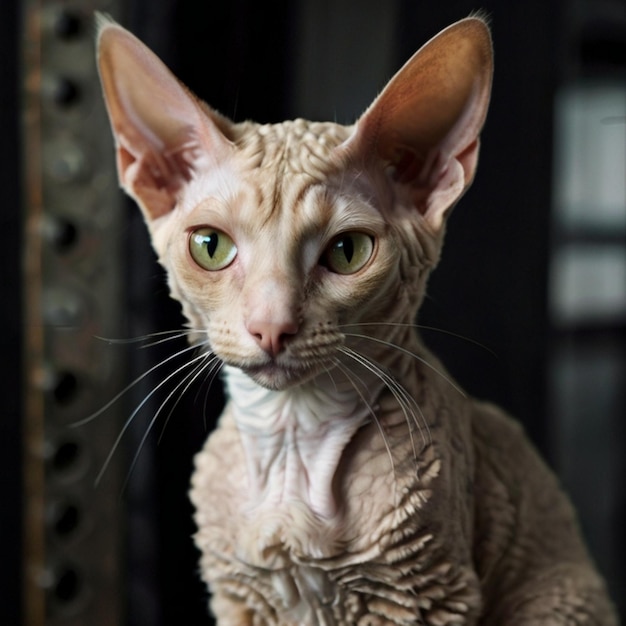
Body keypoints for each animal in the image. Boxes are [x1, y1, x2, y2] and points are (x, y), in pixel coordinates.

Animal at [95, 12, 616, 620]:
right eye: (210, 246)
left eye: (347, 252)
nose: (271, 327)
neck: (291, 443)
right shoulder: (237, 598)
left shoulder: (428, 594)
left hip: (558, 597)